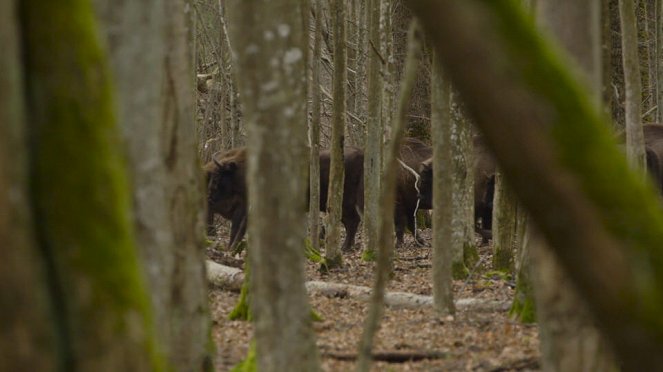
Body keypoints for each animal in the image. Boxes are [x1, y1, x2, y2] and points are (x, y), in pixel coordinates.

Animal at [206, 145, 366, 250]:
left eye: (217, 177)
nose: (210, 197)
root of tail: (362, 154)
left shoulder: (244, 207)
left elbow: (237, 229)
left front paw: (231, 249)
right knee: (352, 222)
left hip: (345, 203)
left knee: (351, 222)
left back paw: (345, 247)